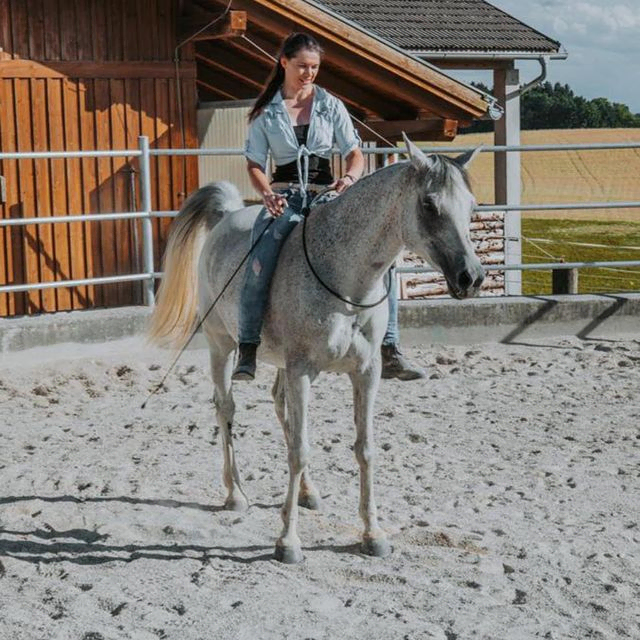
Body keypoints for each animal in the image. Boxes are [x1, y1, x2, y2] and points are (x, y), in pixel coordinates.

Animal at [148, 136, 482, 564]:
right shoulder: (302, 370)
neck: (345, 279)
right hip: (221, 345)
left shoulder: (365, 372)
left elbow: (363, 448)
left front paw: (373, 534)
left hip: (280, 366)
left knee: (280, 408)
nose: (471, 277)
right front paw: (288, 541)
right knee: (226, 409)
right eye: (429, 204)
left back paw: (308, 492)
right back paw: (235, 493)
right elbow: (299, 450)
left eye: (471, 206)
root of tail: (228, 216)